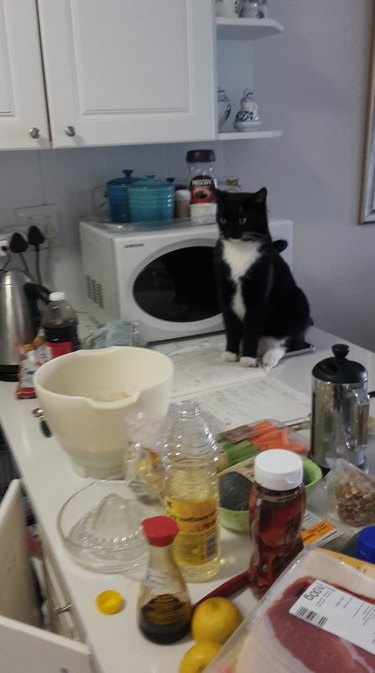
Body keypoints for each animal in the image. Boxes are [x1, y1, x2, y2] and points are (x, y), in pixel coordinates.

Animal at [214, 186, 312, 370]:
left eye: (243, 219)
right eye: (223, 219)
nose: (231, 233)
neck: (240, 250)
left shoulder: (258, 293)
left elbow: (252, 327)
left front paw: (247, 358)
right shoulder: (224, 291)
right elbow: (231, 325)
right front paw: (231, 353)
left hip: (298, 303)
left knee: (287, 341)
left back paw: (269, 357)